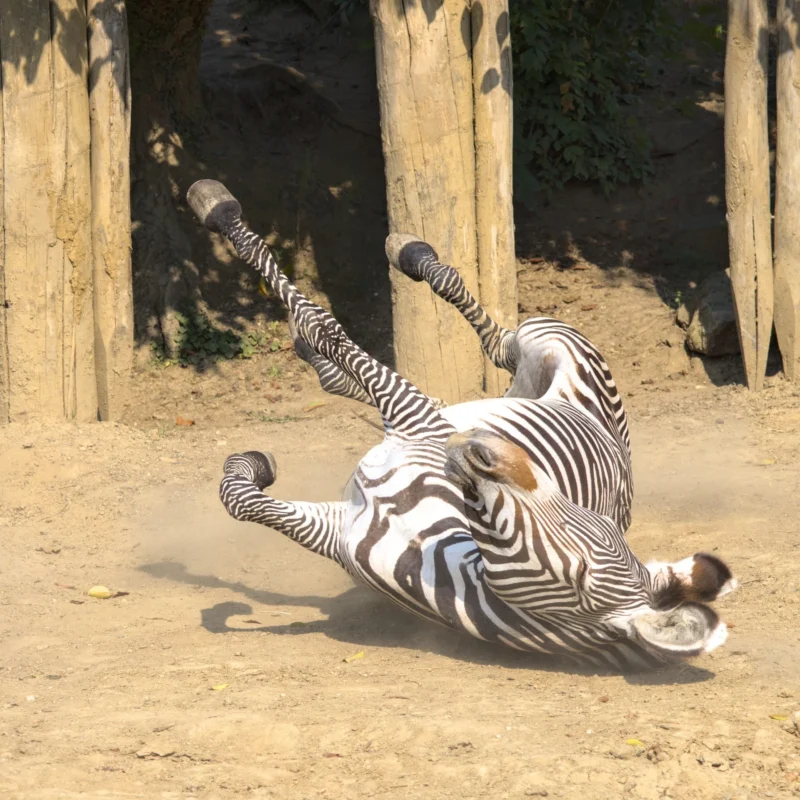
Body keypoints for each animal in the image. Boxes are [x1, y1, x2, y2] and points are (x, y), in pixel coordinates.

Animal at [187, 179, 737, 670]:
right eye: (581, 516)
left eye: (580, 565)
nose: (482, 449)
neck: (427, 550)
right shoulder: (345, 522)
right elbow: (240, 499)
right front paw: (252, 465)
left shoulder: (409, 427)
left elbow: (328, 328)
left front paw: (222, 214)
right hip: (527, 360)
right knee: (477, 348)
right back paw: (399, 262)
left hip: (543, 339)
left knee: (494, 342)